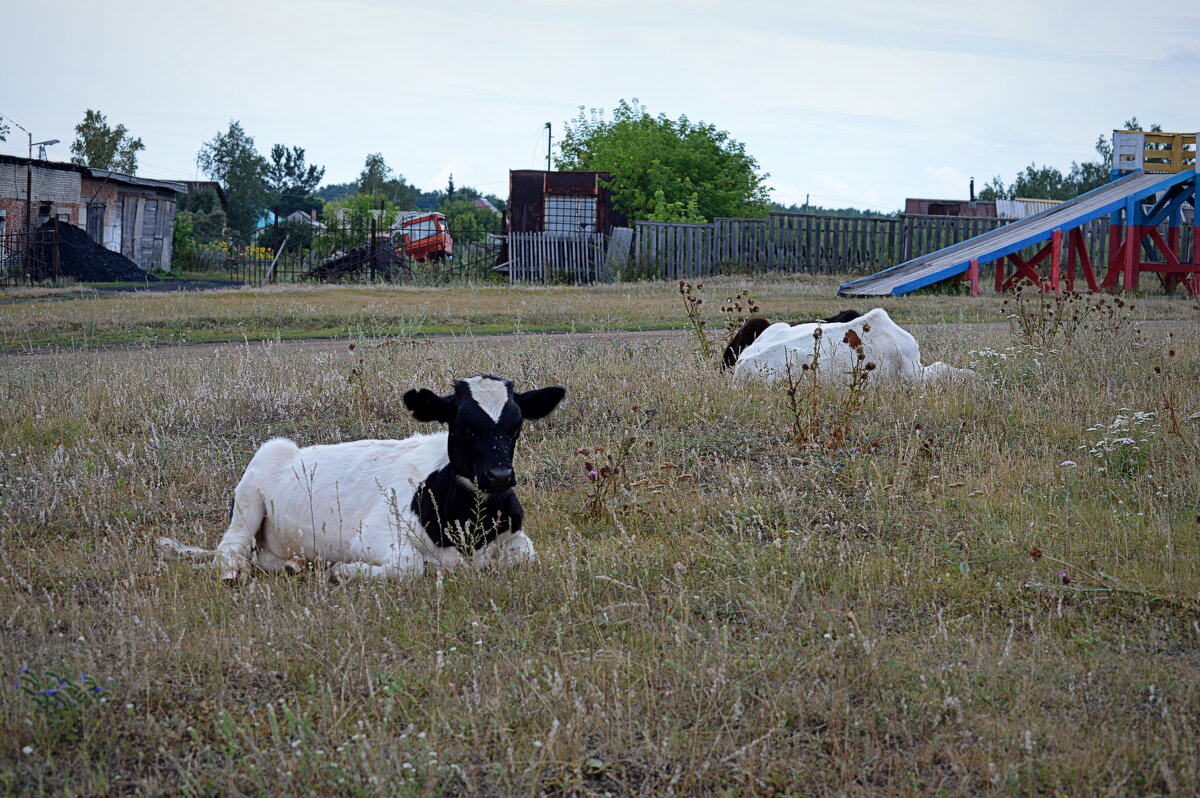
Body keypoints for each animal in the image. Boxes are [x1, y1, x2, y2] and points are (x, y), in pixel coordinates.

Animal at [159, 376, 566, 583]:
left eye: (516, 425)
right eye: (464, 424)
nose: (499, 476)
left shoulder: (515, 535)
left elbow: (526, 555)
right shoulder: (372, 535)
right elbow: (410, 567)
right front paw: (342, 571)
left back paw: (293, 565)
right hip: (249, 496)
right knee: (231, 547)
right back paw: (235, 572)